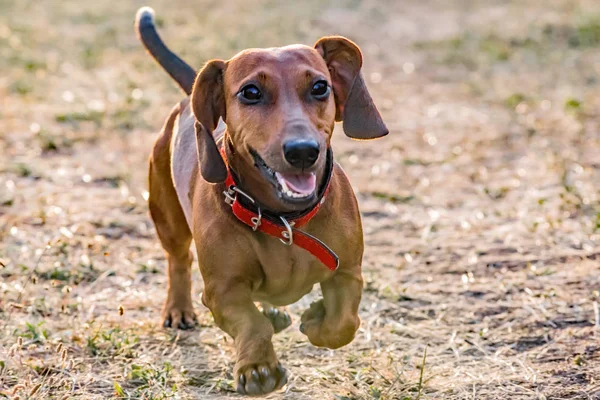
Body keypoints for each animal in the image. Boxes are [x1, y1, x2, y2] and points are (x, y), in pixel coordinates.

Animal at [136, 7, 390, 396]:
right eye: (251, 92)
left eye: (320, 87)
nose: (303, 151)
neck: (284, 218)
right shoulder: (222, 291)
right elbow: (251, 323)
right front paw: (257, 368)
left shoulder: (348, 272)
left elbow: (343, 323)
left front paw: (316, 319)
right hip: (167, 217)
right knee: (178, 261)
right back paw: (179, 310)